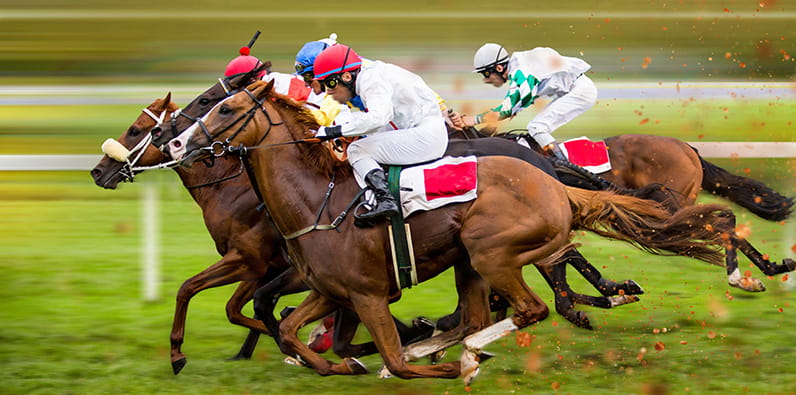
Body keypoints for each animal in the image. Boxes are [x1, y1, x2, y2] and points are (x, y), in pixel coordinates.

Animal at [177, 80, 732, 380]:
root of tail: (554, 183)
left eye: (225, 107)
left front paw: (417, 359)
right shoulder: (331, 290)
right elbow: (292, 331)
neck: (318, 202)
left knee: (527, 307)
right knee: (478, 314)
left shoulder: (368, 295)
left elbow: (388, 356)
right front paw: (344, 362)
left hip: (489, 254)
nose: (179, 143)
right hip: (471, 263)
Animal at [450, 128, 792, 292]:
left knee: (717, 225)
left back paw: (742, 276)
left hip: (674, 203)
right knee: (718, 226)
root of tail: (687, 147)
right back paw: (768, 268)